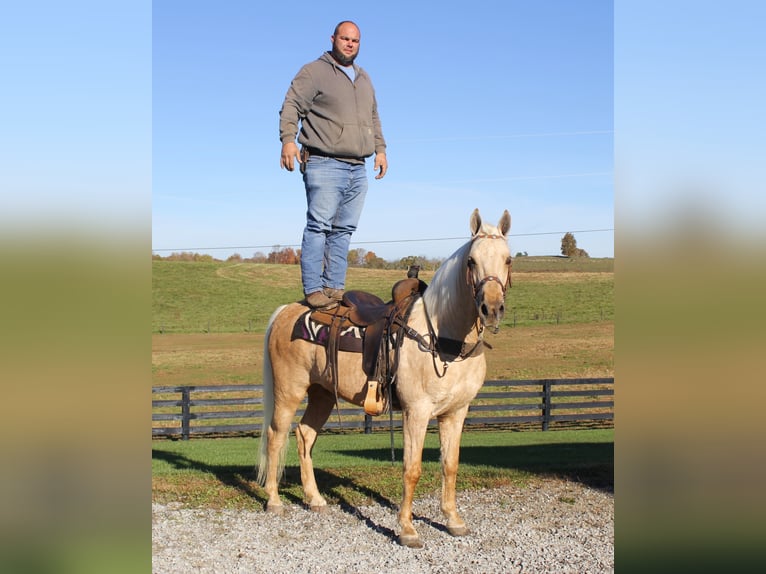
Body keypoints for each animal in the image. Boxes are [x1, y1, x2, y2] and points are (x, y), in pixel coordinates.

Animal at [255, 209, 512, 552]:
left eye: (508, 259)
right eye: (471, 260)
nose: (491, 308)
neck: (442, 337)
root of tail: (287, 310)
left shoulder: (456, 413)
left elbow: (450, 464)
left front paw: (453, 520)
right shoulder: (416, 412)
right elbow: (412, 469)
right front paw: (407, 529)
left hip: (322, 394)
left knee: (305, 435)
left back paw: (315, 499)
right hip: (288, 392)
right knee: (276, 436)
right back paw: (273, 501)